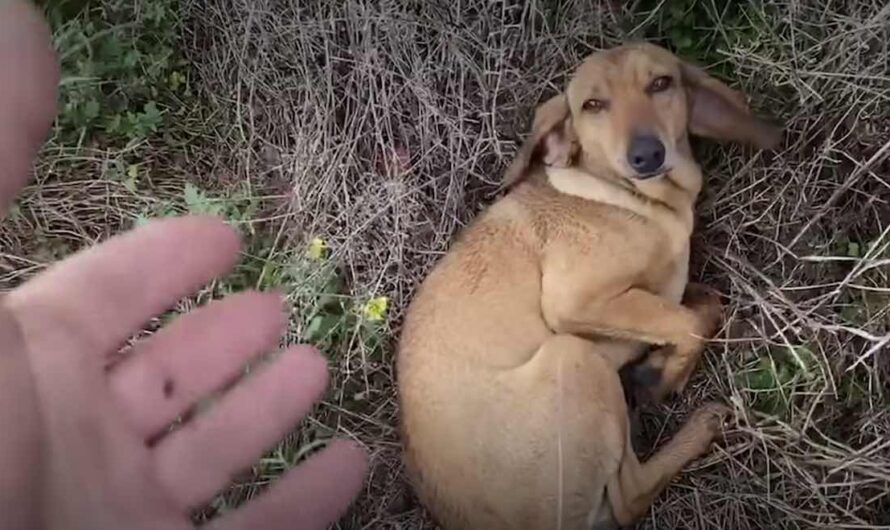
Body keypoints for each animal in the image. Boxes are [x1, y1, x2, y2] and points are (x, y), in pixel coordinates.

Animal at [394, 42, 776, 528]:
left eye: (661, 83)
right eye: (593, 105)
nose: (647, 154)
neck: (634, 198)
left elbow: (705, 304)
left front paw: (659, 364)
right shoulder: (573, 300)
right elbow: (687, 321)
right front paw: (666, 375)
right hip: (574, 356)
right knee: (631, 498)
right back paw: (699, 429)